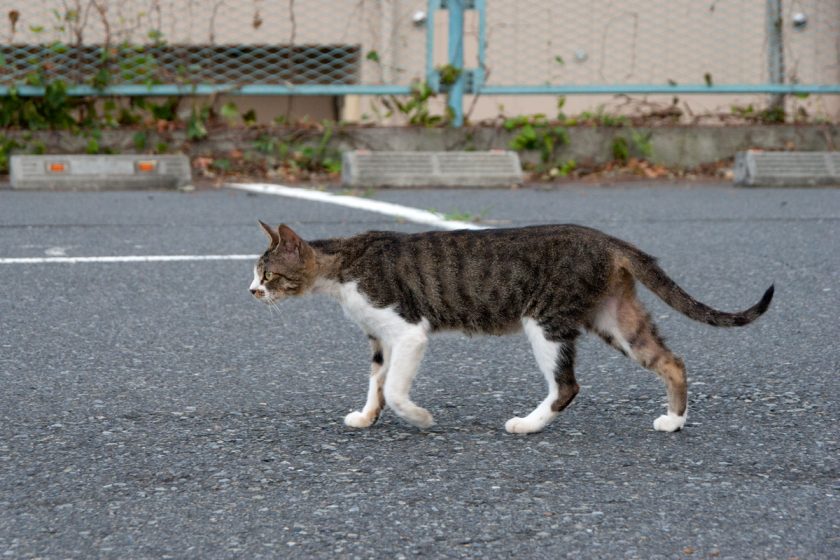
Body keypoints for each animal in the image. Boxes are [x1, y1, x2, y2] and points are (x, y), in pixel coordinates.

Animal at [249, 221, 776, 436]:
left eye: (268, 274)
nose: (251, 291)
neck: (341, 268)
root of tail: (607, 239)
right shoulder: (380, 339)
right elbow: (376, 382)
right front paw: (366, 417)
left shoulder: (409, 331)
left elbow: (396, 389)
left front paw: (420, 418)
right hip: (616, 319)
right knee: (672, 360)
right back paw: (674, 420)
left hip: (545, 319)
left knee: (567, 386)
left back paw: (527, 424)